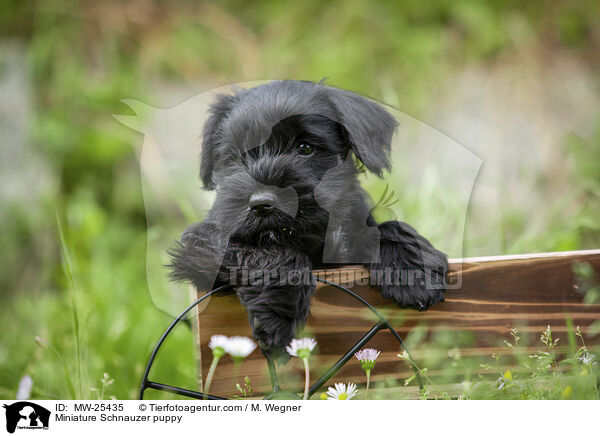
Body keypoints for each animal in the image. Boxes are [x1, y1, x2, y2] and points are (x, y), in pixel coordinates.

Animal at [168, 81, 446, 358]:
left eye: (306, 148)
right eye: (236, 156)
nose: (262, 203)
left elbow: (387, 228)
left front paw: (414, 273)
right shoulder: (202, 243)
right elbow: (270, 252)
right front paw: (278, 311)